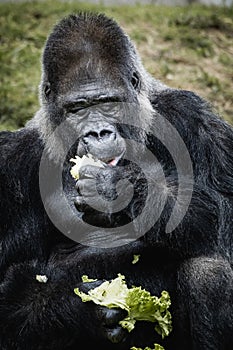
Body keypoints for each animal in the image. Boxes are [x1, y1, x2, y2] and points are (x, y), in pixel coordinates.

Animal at [0, 10, 233, 350]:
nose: (98, 132)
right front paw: (78, 310)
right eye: (78, 109)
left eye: (108, 103)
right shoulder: (10, 163)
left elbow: (226, 210)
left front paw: (116, 188)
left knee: (209, 271)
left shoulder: (195, 118)